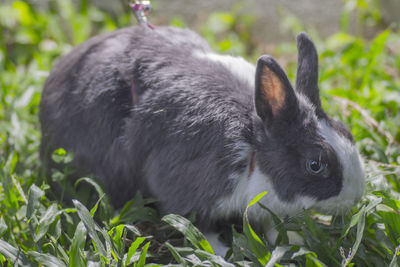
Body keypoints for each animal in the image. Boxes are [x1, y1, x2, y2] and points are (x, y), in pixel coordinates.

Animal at [39, 26, 366, 256]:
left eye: (347, 133)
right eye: (315, 164)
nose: (356, 197)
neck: (252, 145)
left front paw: (294, 242)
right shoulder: (185, 187)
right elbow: (198, 224)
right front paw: (222, 251)